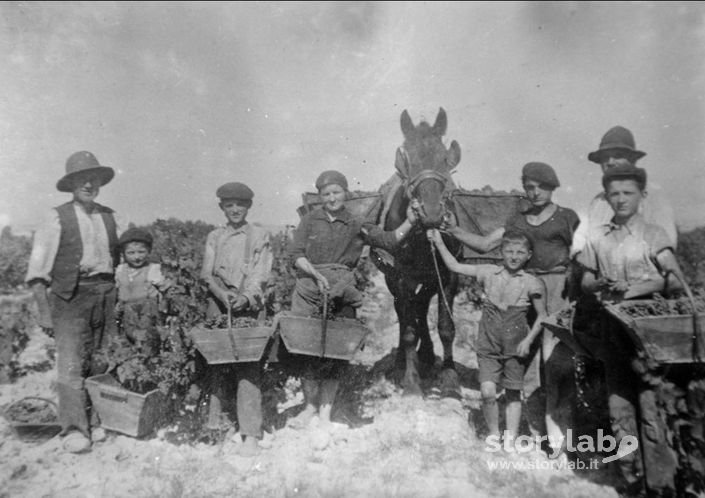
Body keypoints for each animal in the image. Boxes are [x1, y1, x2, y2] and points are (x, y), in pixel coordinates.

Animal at [372, 107, 464, 398]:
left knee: (421, 305)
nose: (431, 213)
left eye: (445, 159)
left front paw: (449, 377)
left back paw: (427, 355)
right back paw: (403, 359)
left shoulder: (449, 275)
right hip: (393, 279)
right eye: (408, 160)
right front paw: (411, 381)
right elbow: (409, 328)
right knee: (404, 312)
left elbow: (446, 327)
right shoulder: (402, 278)